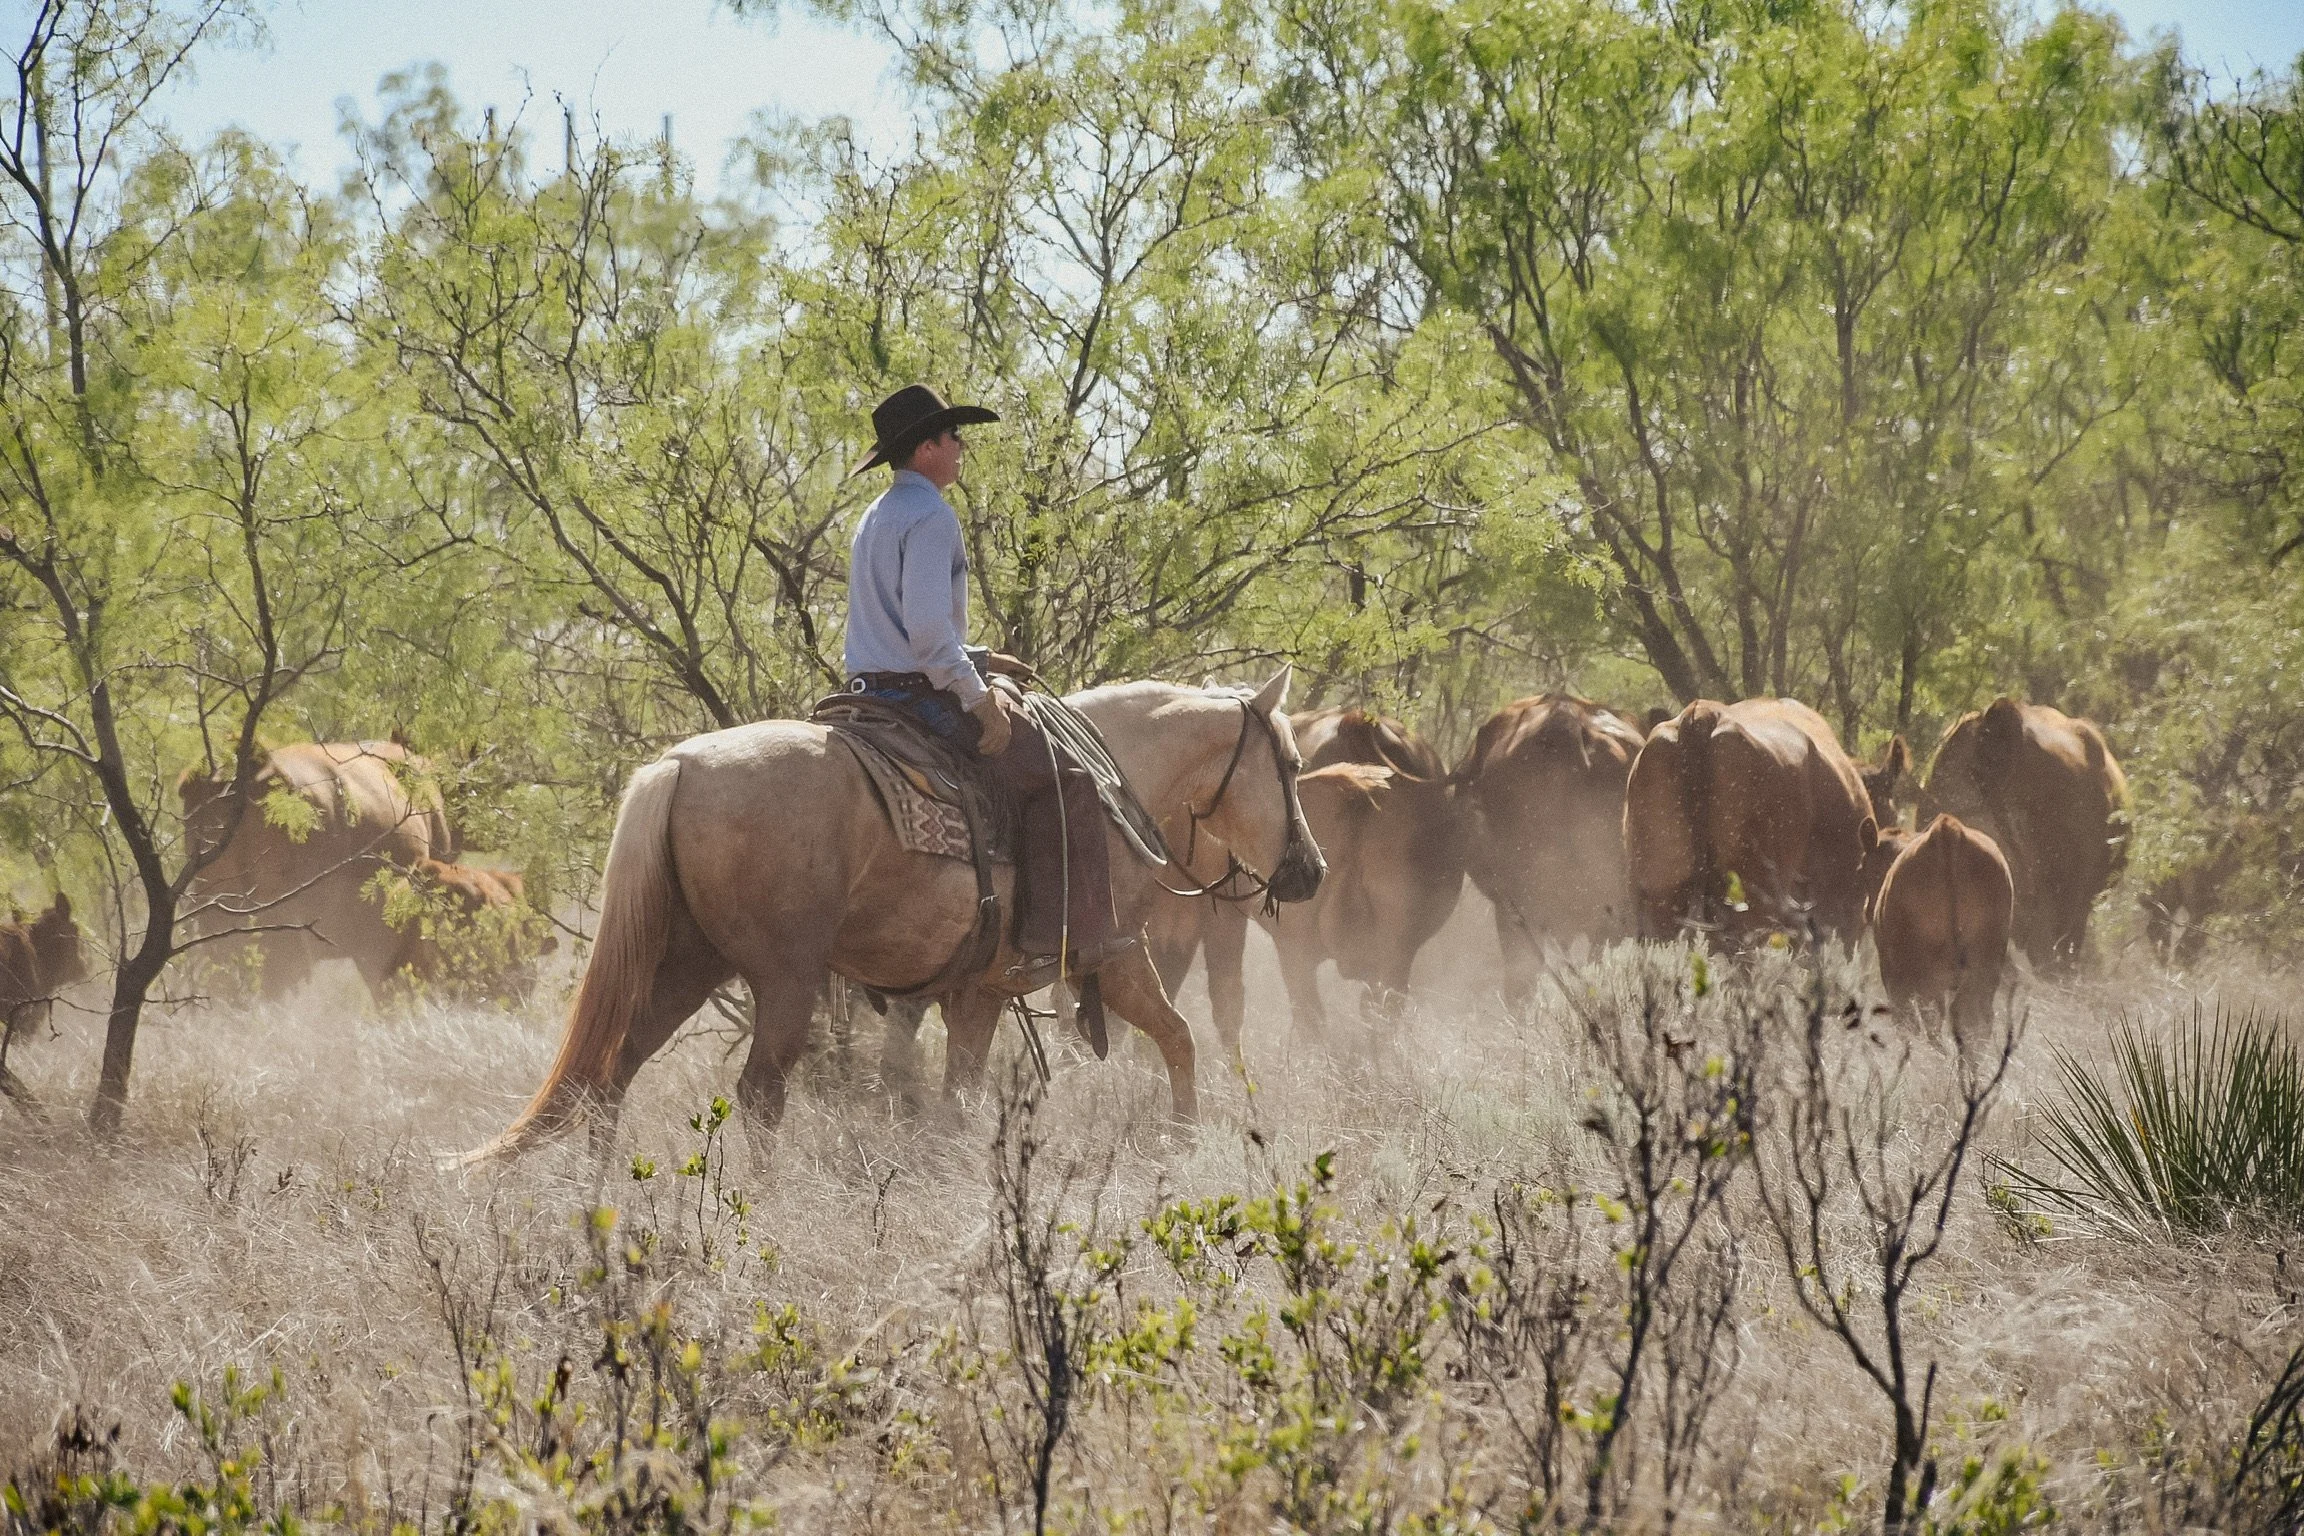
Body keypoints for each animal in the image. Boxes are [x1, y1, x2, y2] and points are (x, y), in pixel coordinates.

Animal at [464, 668, 1323, 1161]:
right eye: (1290, 763)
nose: (1310, 872)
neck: (1113, 783)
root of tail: (679, 767)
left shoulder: (969, 995)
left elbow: (950, 1098)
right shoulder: (1106, 956)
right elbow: (1176, 1039)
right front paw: (1184, 1140)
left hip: (686, 963)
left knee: (612, 1073)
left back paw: (603, 1199)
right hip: (784, 978)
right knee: (760, 1094)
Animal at [1861, 814, 2015, 1033]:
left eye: (1862, 870)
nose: (1866, 910)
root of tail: (1947, 831)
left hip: (1923, 973)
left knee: (1928, 1016)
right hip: (1985, 964)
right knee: (1973, 1015)